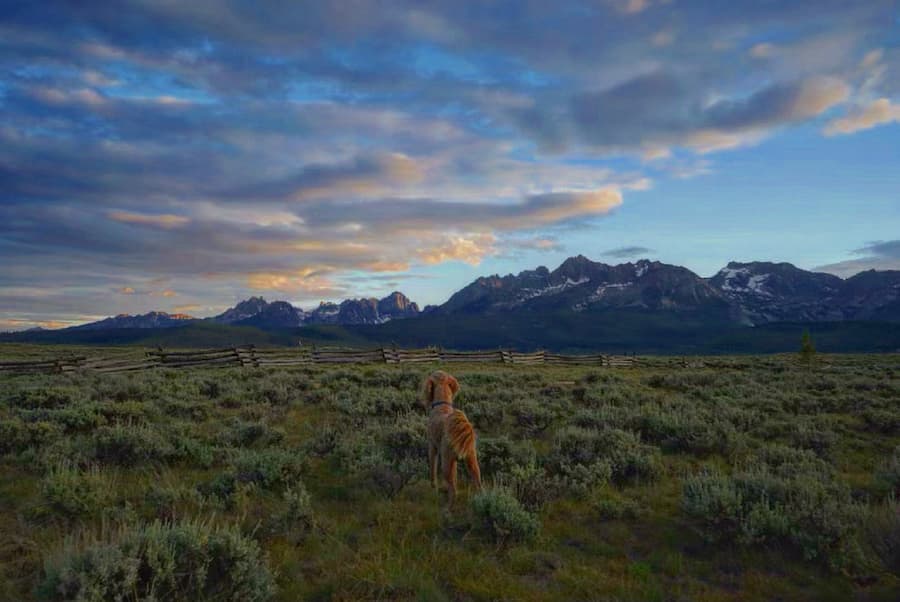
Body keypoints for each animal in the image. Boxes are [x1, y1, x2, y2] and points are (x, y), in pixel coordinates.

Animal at [420, 368, 478, 504]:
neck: (442, 405)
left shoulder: (432, 446)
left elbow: (432, 469)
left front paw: (433, 487)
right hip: (471, 460)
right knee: (478, 484)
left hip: (446, 462)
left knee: (453, 490)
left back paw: (448, 506)